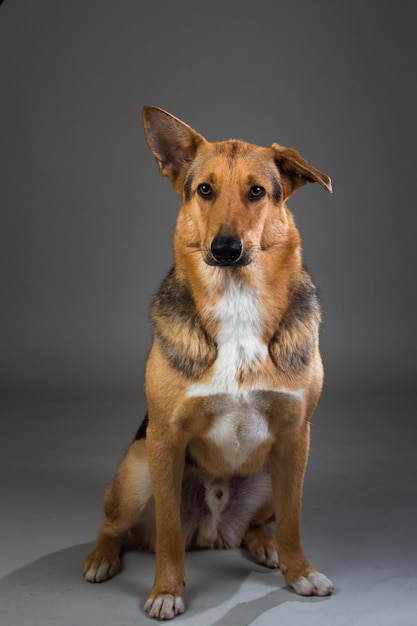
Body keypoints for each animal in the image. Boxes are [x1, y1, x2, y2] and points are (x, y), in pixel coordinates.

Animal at [83, 105, 334, 616]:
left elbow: (294, 521)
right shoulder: (164, 437)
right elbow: (168, 535)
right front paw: (166, 589)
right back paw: (101, 558)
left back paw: (265, 546)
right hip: (138, 467)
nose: (225, 249)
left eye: (257, 192)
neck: (237, 300)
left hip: (270, 475)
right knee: (117, 526)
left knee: (263, 523)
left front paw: (299, 572)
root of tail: (213, 529)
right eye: (204, 190)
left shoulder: (296, 437)